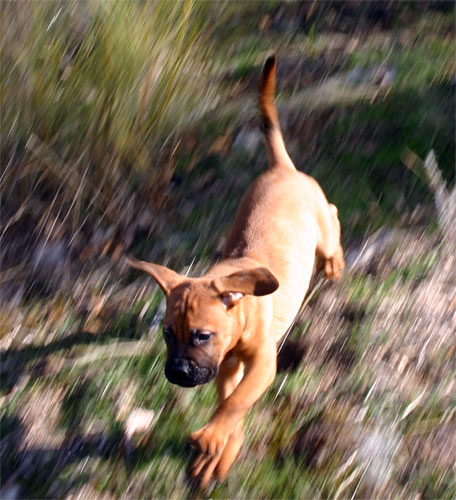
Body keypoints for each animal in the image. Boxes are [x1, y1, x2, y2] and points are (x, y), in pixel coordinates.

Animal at [126, 55, 344, 488]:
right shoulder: (226, 367)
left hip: (321, 225)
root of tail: (282, 169)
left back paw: (334, 262)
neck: (241, 304)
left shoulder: (262, 363)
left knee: (332, 216)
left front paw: (213, 437)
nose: (177, 373)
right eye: (166, 334)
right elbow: (231, 402)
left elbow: (238, 401)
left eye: (201, 335)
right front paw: (223, 449)